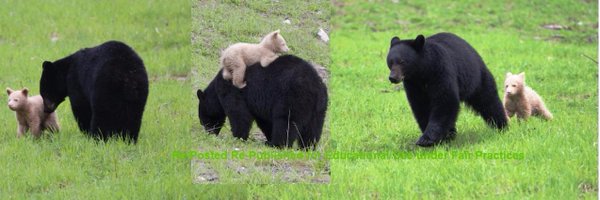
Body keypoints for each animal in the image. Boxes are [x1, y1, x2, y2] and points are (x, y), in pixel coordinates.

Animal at [196, 54, 328, 149]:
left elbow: (239, 114)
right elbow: (265, 121)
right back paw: (307, 147)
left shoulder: (232, 91)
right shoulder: (260, 105)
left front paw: (238, 137)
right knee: (313, 128)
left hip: (292, 98)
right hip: (319, 107)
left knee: (285, 122)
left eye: (203, 119)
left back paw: (276, 145)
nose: (208, 132)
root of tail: (314, 85)